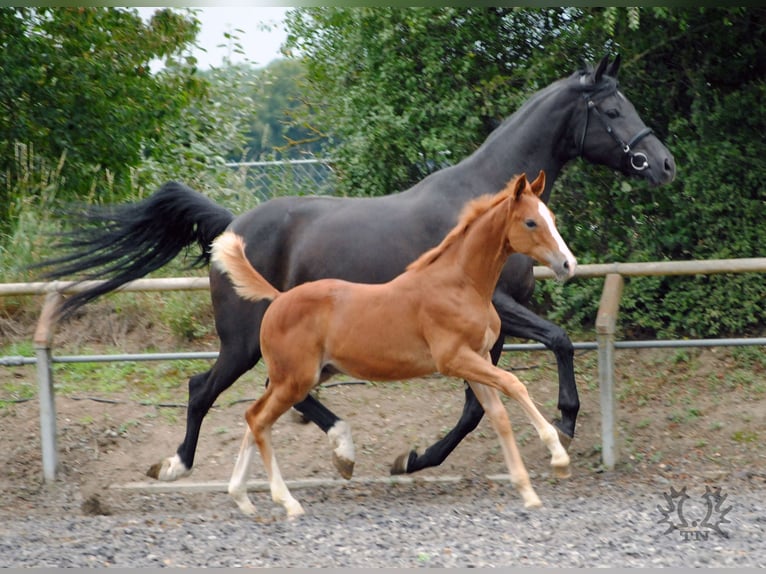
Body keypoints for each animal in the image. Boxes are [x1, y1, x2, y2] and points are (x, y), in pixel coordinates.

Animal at [210, 171, 576, 516]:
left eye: (552, 217)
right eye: (530, 222)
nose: (567, 264)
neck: (459, 284)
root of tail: (278, 298)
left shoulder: (479, 359)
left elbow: (496, 415)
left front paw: (528, 491)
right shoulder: (454, 359)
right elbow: (514, 384)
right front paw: (558, 451)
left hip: (302, 377)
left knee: (253, 416)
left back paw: (242, 497)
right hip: (294, 379)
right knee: (258, 420)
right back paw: (287, 501)